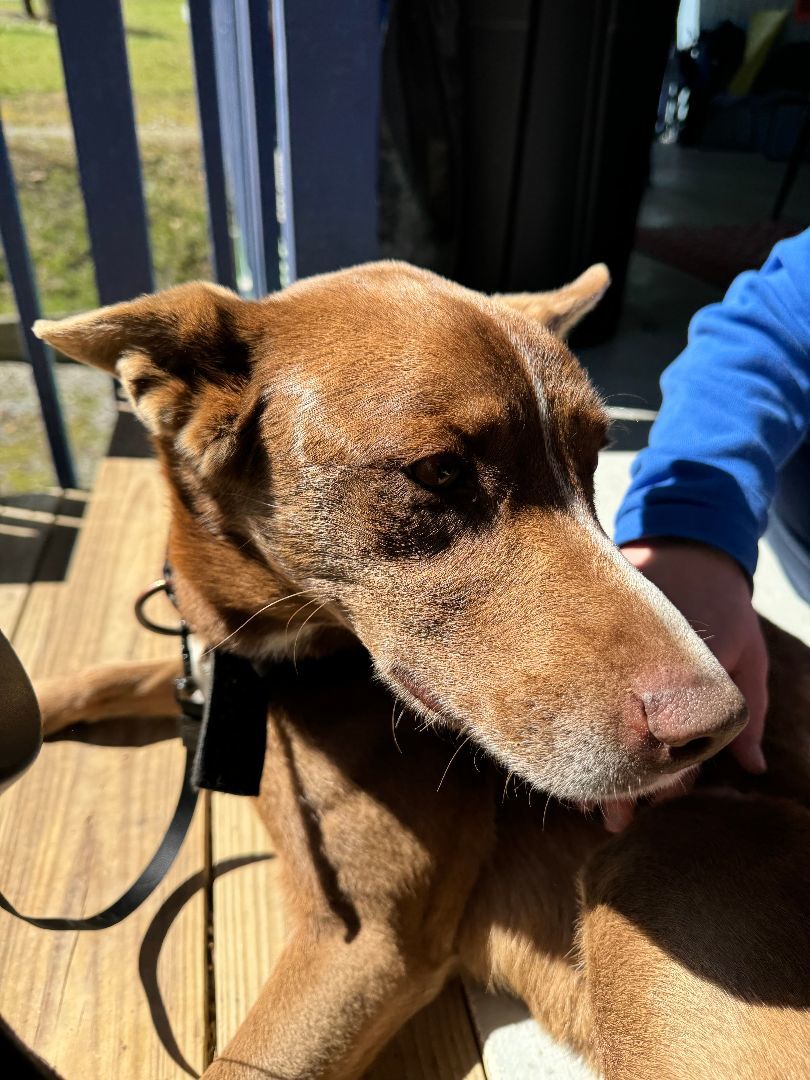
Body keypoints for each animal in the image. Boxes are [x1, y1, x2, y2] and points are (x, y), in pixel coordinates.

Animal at [33, 263, 810, 1080]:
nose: (721, 726)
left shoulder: (367, 944)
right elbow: (118, 672)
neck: (282, 672)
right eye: (439, 472)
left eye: (594, 458)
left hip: (662, 851)